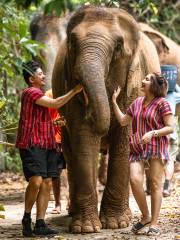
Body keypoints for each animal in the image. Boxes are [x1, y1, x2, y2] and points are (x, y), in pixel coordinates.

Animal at [52, 5, 160, 233]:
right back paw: (73, 213)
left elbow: (124, 138)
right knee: (70, 151)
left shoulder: (135, 83)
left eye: (118, 46)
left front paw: (114, 223)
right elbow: (83, 139)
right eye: (72, 42)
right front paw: (86, 228)